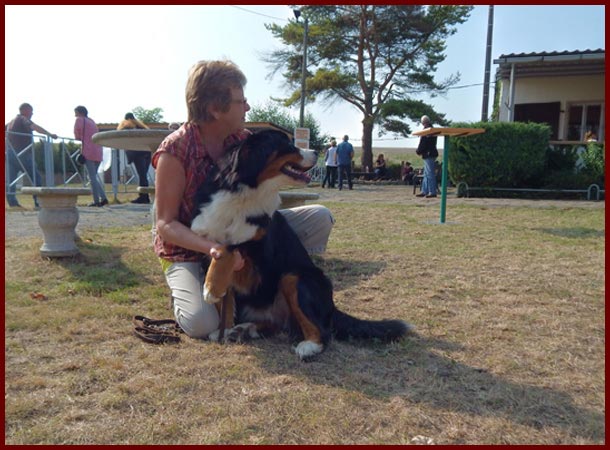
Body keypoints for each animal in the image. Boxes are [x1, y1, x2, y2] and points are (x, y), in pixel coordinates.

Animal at [191, 130, 413, 360]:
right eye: (287, 145)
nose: (317, 152)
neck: (242, 192)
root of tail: (332, 306)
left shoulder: (260, 247)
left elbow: (229, 247)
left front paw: (211, 288)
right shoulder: (205, 242)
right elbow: (223, 301)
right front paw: (222, 326)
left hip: (294, 277)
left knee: (321, 331)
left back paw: (308, 346)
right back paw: (243, 329)